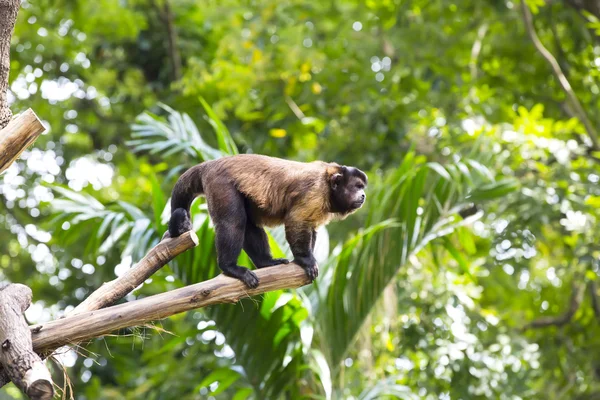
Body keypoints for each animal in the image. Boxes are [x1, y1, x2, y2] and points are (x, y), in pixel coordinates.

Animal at [166, 153, 368, 288]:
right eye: (357, 186)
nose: (364, 195)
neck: (328, 182)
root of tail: (210, 164)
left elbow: (311, 227)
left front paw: (306, 257)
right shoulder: (315, 191)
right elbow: (296, 221)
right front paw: (305, 259)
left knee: (248, 223)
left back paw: (265, 262)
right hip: (219, 184)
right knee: (234, 222)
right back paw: (230, 267)